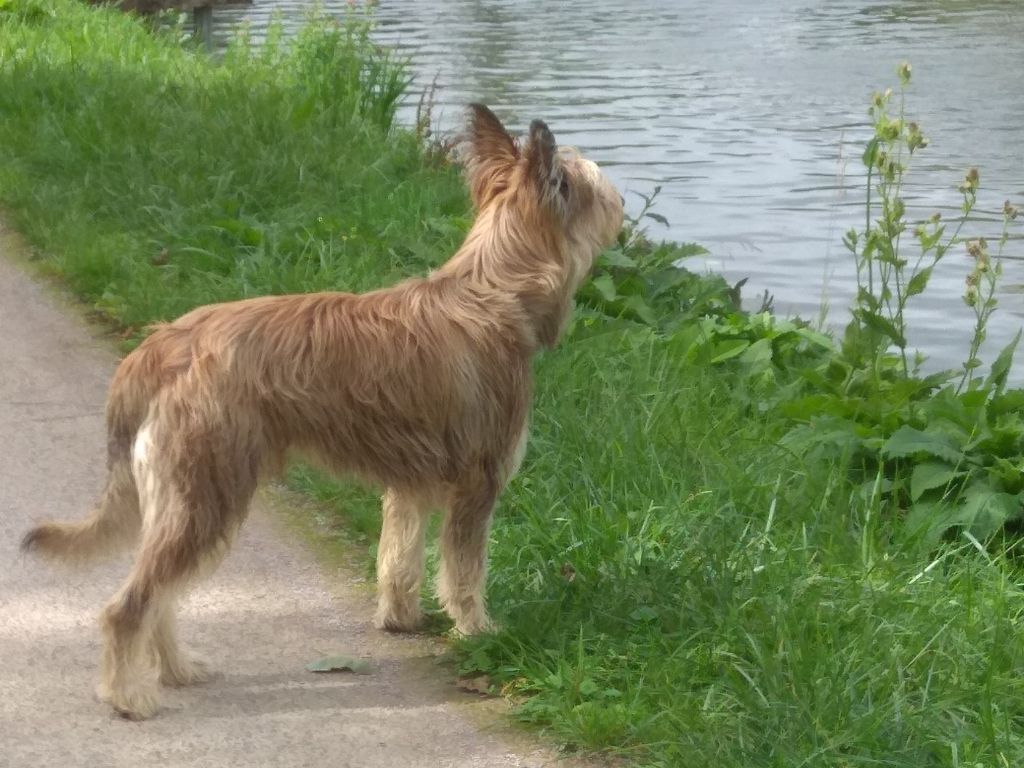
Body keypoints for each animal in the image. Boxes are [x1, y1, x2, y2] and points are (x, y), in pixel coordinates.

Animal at [22, 103, 622, 720]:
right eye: (594, 188)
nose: (619, 206)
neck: (494, 291)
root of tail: (162, 344)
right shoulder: (477, 484)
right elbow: (463, 570)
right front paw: (478, 632)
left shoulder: (409, 487)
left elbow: (398, 559)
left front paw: (401, 620)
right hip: (206, 496)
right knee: (131, 604)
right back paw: (129, 696)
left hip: (186, 502)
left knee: (160, 595)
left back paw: (177, 669)